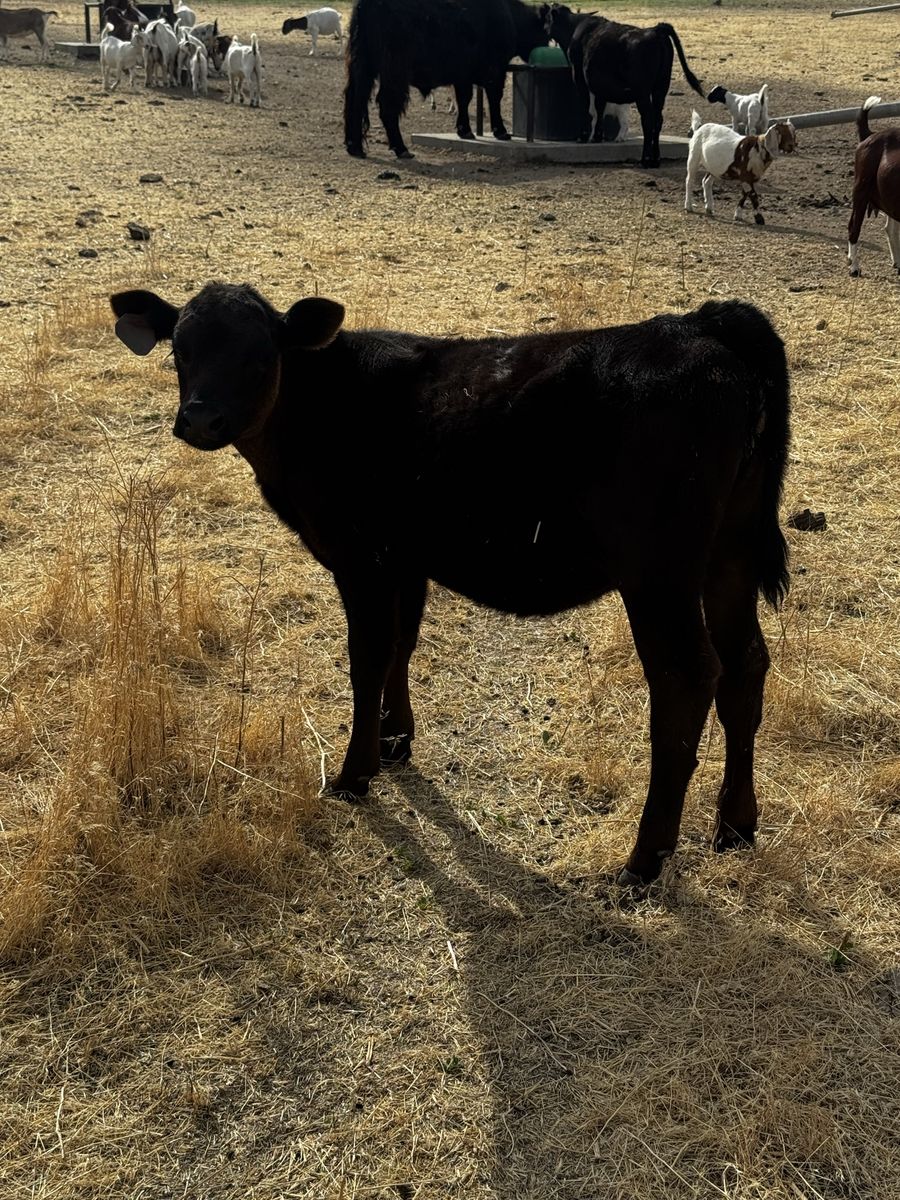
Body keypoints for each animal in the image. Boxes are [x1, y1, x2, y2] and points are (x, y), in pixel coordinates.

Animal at [110, 283, 790, 885]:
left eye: (259, 355)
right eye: (180, 349)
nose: (200, 419)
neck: (321, 407)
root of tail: (698, 324)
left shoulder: (362, 559)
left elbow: (367, 657)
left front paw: (354, 773)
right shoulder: (406, 561)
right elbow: (400, 648)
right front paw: (394, 741)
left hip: (659, 572)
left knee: (687, 678)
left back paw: (645, 860)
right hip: (729, 554)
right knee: (746, 666)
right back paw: (735, 826)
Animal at [344, 0, 549, 159]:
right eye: (545, 34)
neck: (509, 16)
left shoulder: (463, 75)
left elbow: (464, 99)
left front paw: (464, 130)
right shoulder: (495, 72)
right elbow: (494, 101)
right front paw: (501, 132)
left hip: (361, 67)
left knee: (355, 100)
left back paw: (355, 147)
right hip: (395, 72)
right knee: (387, 106)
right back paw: (401, 149)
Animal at [542, 3, 706, 167]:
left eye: (548, 17)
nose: (543, 27)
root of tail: (656, 29)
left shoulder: (579, 77)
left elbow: (585, 105)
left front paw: (583, 137)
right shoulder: (600, 84)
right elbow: (600, 106)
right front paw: (597, 136)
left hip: (642, 92)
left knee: (648, 120)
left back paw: (646, 160)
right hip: (661, 87)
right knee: (658, 120)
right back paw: (656, 159)